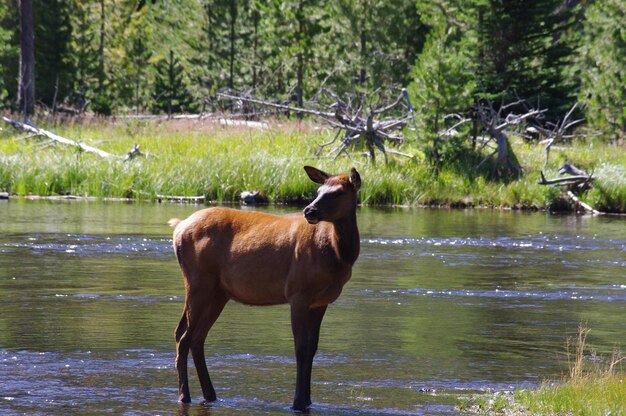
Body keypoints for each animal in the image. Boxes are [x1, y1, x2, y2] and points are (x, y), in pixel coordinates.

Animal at [168, 165, 360, 410]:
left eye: (338, 192)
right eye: (318, 190)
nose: (309, 210)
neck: (338, 256)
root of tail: (178, 228)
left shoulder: (321, 301)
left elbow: (313, 349)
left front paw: (308, 400)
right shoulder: (298, 292)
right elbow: (301, 348)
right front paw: (297, 402)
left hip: (218, 292)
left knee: (196, 337)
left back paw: (210, 395)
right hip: (198, 282)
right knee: (183, 335)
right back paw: (185, 396)